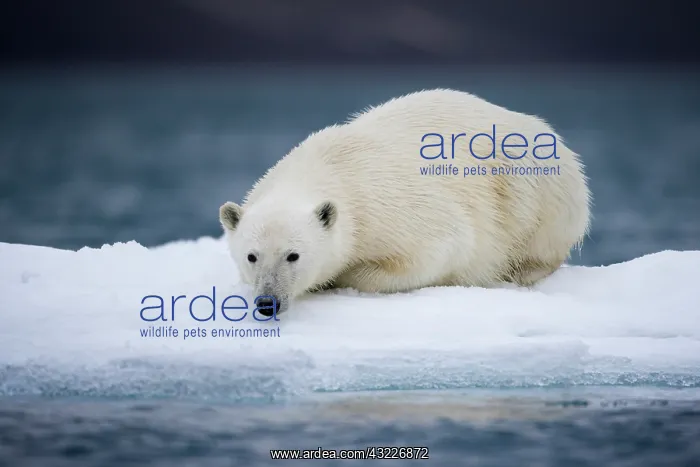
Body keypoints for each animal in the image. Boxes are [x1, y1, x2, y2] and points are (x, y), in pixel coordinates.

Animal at [219, 88, 591, 316]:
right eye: (252, 256)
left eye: (293, 255)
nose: (267, 302)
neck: (329, 168)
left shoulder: (390, 207)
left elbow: (440, 249)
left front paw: (344, 275)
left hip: (533, 181)